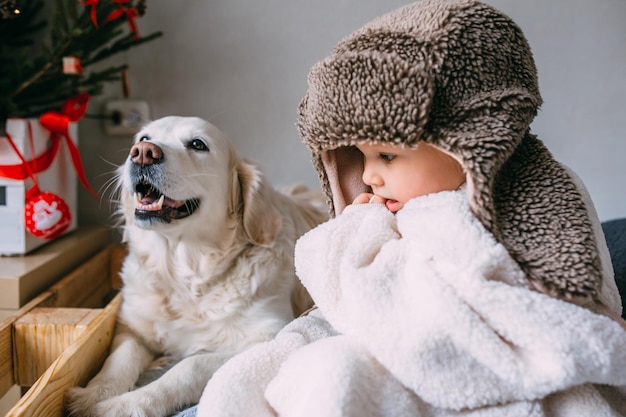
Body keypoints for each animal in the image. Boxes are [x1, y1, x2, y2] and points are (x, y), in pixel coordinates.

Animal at [64, 116, 326, 416]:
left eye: (198, 144)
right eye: (143, 138)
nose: (143, 153)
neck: (183, 274)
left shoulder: (269, 336)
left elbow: (189, 366)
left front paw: (126, 404)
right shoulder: (132, 327)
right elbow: (118, 358)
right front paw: (93, 395)